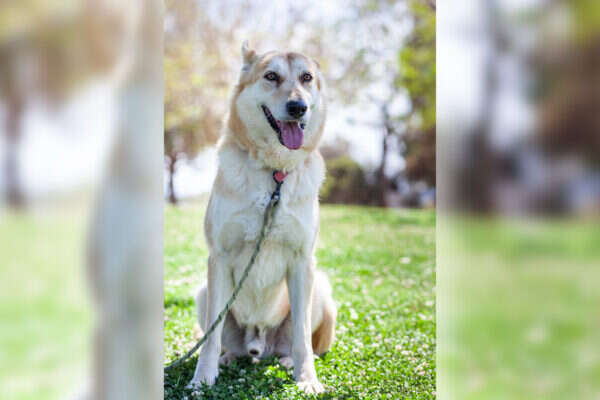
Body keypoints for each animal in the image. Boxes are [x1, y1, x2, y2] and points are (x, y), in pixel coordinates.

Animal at [188, 41, 336, 394]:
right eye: (271, 76)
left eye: (307, 78)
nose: (298, 107)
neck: (274, 173)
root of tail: (259, 343)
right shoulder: (219, 258)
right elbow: (211, 337)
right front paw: (203, 378)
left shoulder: (302, 260)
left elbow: (302, 337)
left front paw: (307, 379)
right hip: (203, 292)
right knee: (226, 340)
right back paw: (229, 358)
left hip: (321, 290)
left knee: (300, 343)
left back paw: (287, 361)